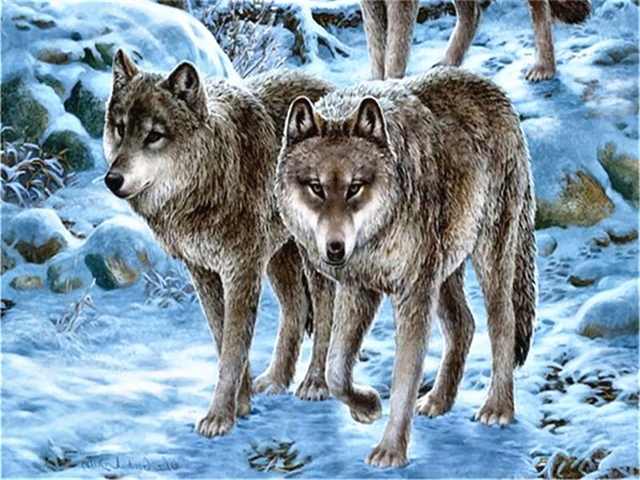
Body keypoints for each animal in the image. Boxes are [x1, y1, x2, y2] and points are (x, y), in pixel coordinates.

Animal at [103, 50, 335, 438]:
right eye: (120, 128)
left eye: (154, 135)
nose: (112, 179)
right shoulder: (204, 272)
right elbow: (221, 338)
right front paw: (241, 405)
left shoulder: (241, 271)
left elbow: (232, 350)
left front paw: (219, 416)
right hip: (279, 258)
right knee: (296, 308)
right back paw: (275, 380)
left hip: (312, 257)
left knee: (326, 307)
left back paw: (314, 384)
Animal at [276, 67, 537, 467]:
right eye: (316, 188)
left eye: (355, 187)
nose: (335, 249)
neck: (378, 234)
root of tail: (496, 93)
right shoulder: (359, 289)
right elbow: (336, 371)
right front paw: (366, 407)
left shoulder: (412, 295)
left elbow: (404, 379)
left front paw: (391, 450)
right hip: (444, 272)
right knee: (463, 324)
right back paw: (438, 401)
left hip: (487, 258)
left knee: (502, 323)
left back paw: (498, 408)